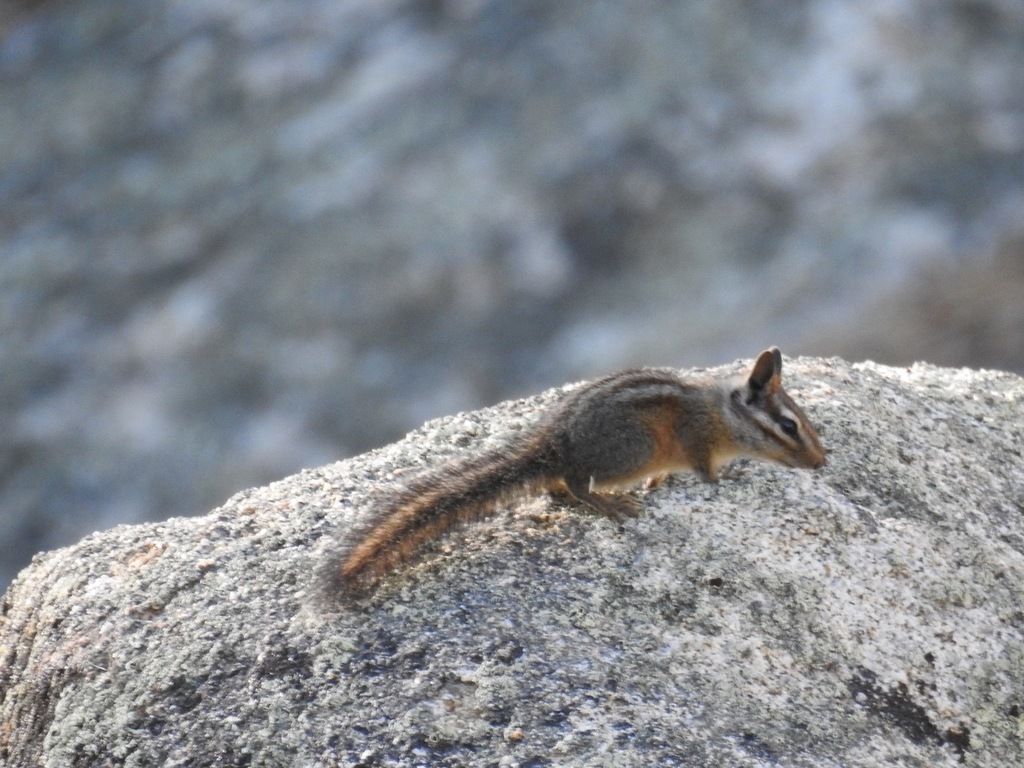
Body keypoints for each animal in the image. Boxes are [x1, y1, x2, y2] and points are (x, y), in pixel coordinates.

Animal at [328, 347, 825, 599]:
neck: (722, 413)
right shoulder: (697, 442)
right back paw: (610, 502)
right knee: (573, 483)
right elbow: (706, 474)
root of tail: (552, 444)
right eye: (789, 426)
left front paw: (661, 482)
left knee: (555, 489)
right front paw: (726, 480)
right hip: (631, 451)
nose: (821, 462)